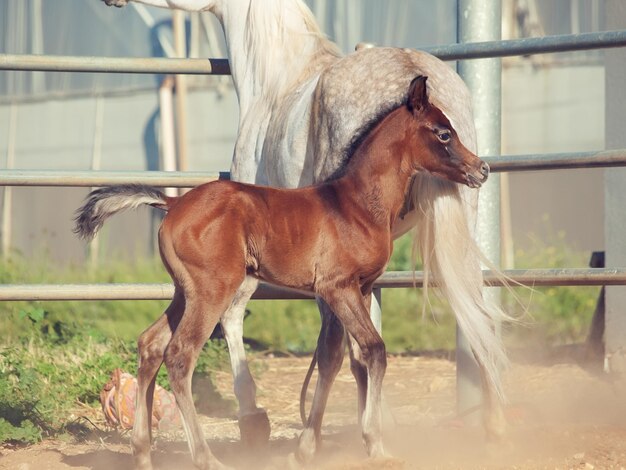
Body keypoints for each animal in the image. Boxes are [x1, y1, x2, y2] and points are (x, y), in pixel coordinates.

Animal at [100, 0, 504, 466]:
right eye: (442, 132)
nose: (482, 169)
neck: (353, 200)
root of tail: (173, 204)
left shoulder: (358, 288)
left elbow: (357, 352)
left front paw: (360, 438)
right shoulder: (335, 287)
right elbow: (364, 351)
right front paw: (362, 440)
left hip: (187, 292)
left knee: (152, 344)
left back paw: (145, 452)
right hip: (210, 289)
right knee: (180, 354)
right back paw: (206, 456)